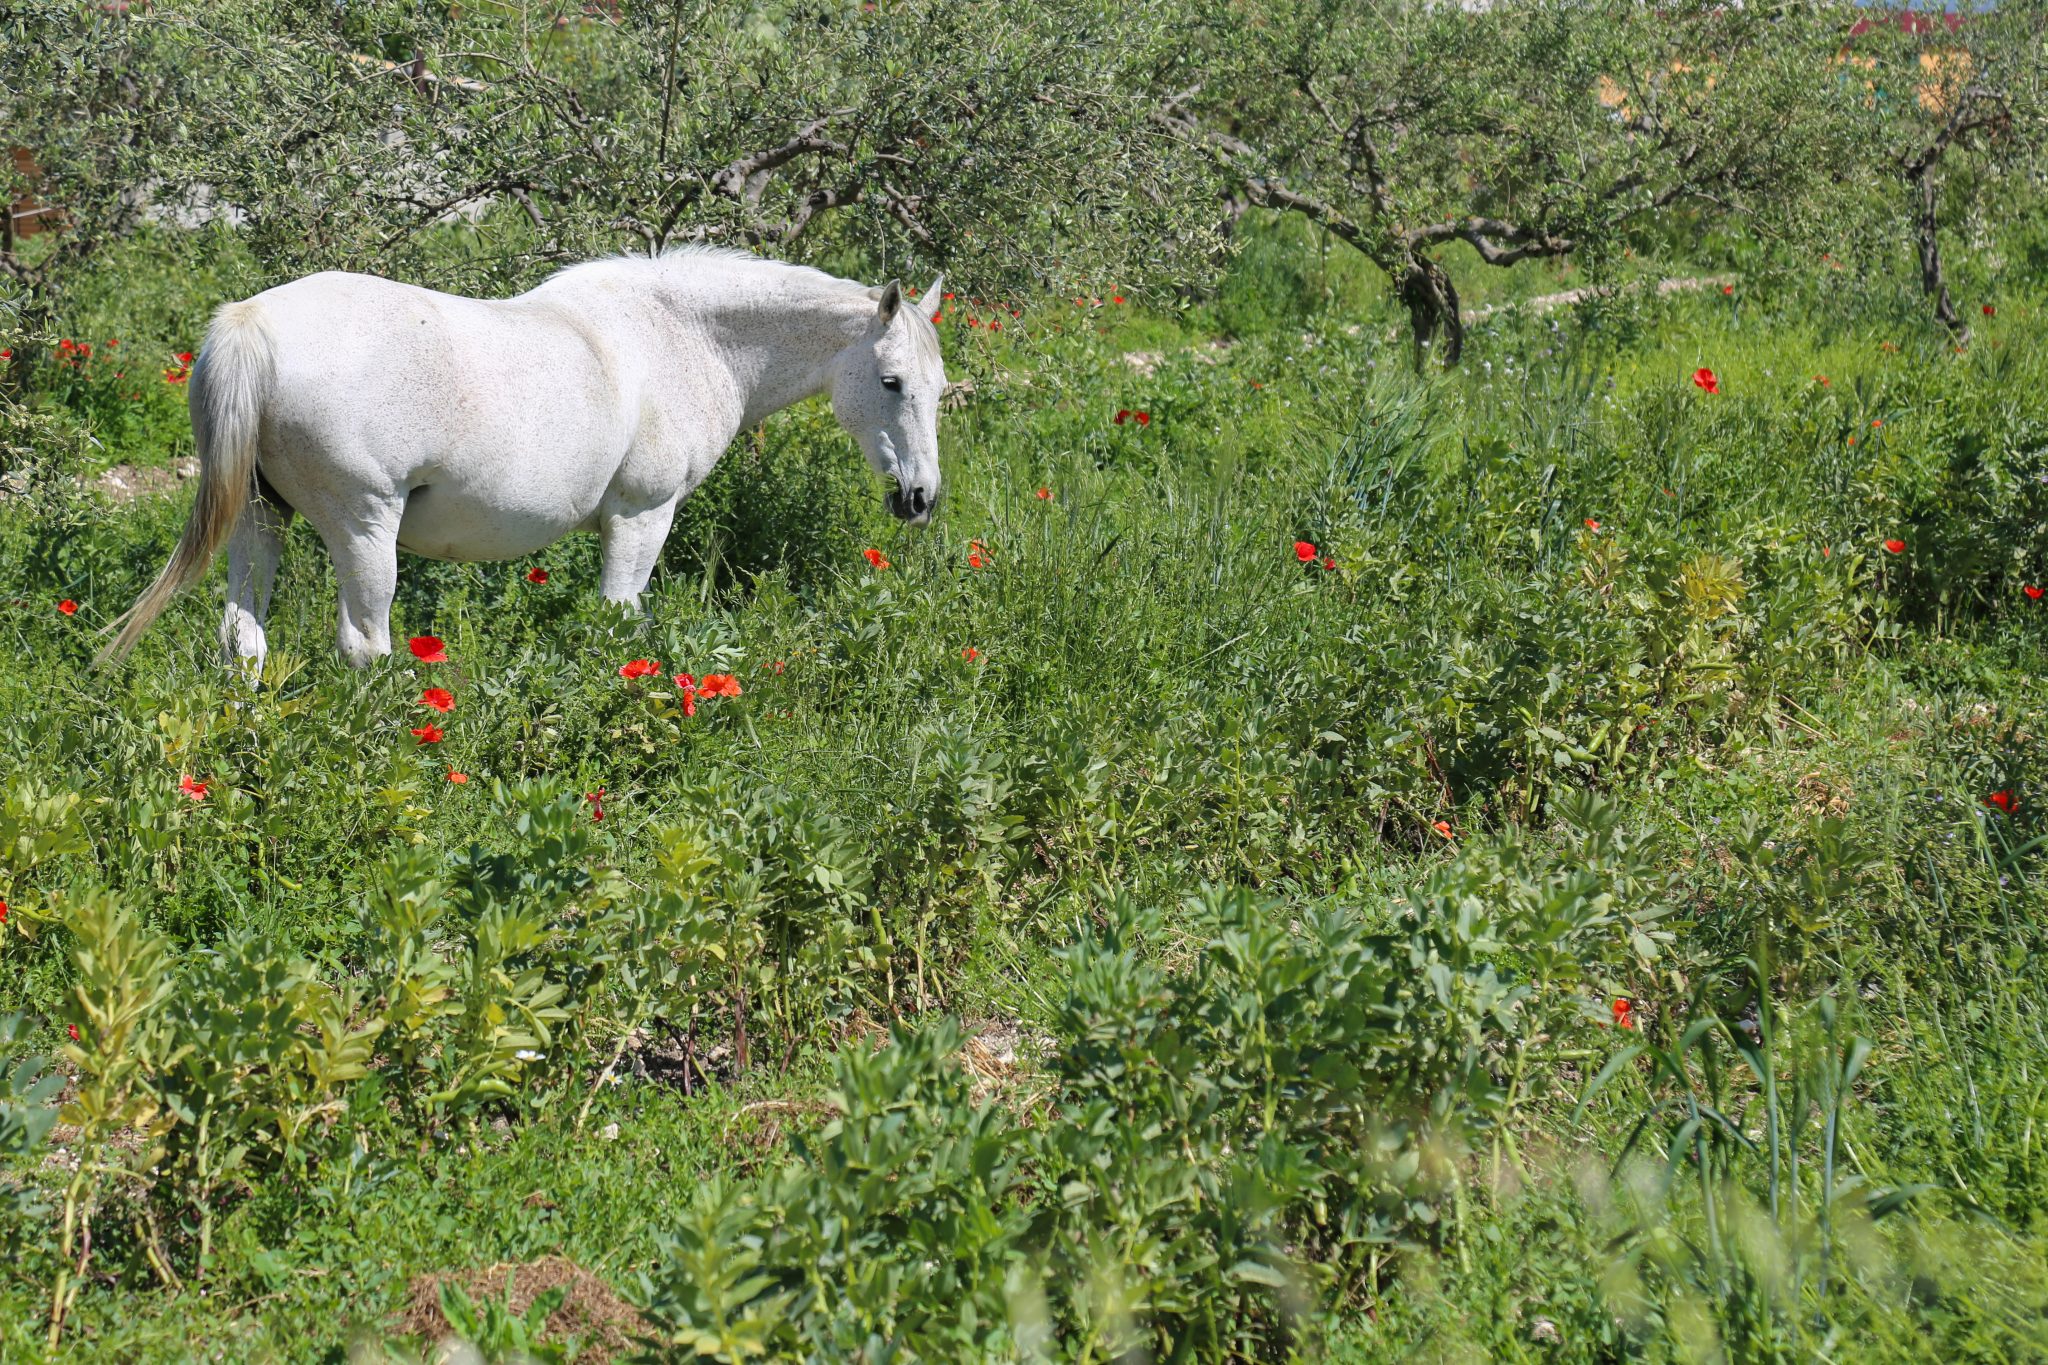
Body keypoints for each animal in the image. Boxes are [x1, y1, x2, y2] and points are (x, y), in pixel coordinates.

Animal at [98, 249, 948, 671]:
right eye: (891, 382)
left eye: (939, 388)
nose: (920, 498)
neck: (681, 333)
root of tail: (252, 324)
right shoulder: (641, 518)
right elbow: (618, 623)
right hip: (364, 530)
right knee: (364, 645)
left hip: (257, 520)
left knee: (243, 639)